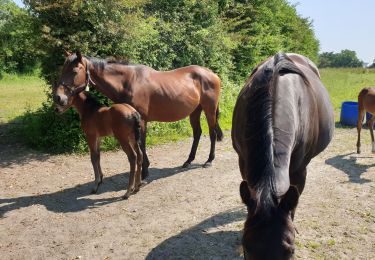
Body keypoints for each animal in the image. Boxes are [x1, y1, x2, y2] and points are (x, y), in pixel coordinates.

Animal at [53, 51, 223, 181]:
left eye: (74, 72)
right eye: (62, 70)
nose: (58, 98)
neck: (128, 82)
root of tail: (212, 74)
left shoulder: (141, 121)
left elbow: (141, 144)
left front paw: (144, 172)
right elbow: (140, 144)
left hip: (209, 109)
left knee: (212, 133)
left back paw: (209, 160)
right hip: (195, 111)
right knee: (197, 133)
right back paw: (188, 161)